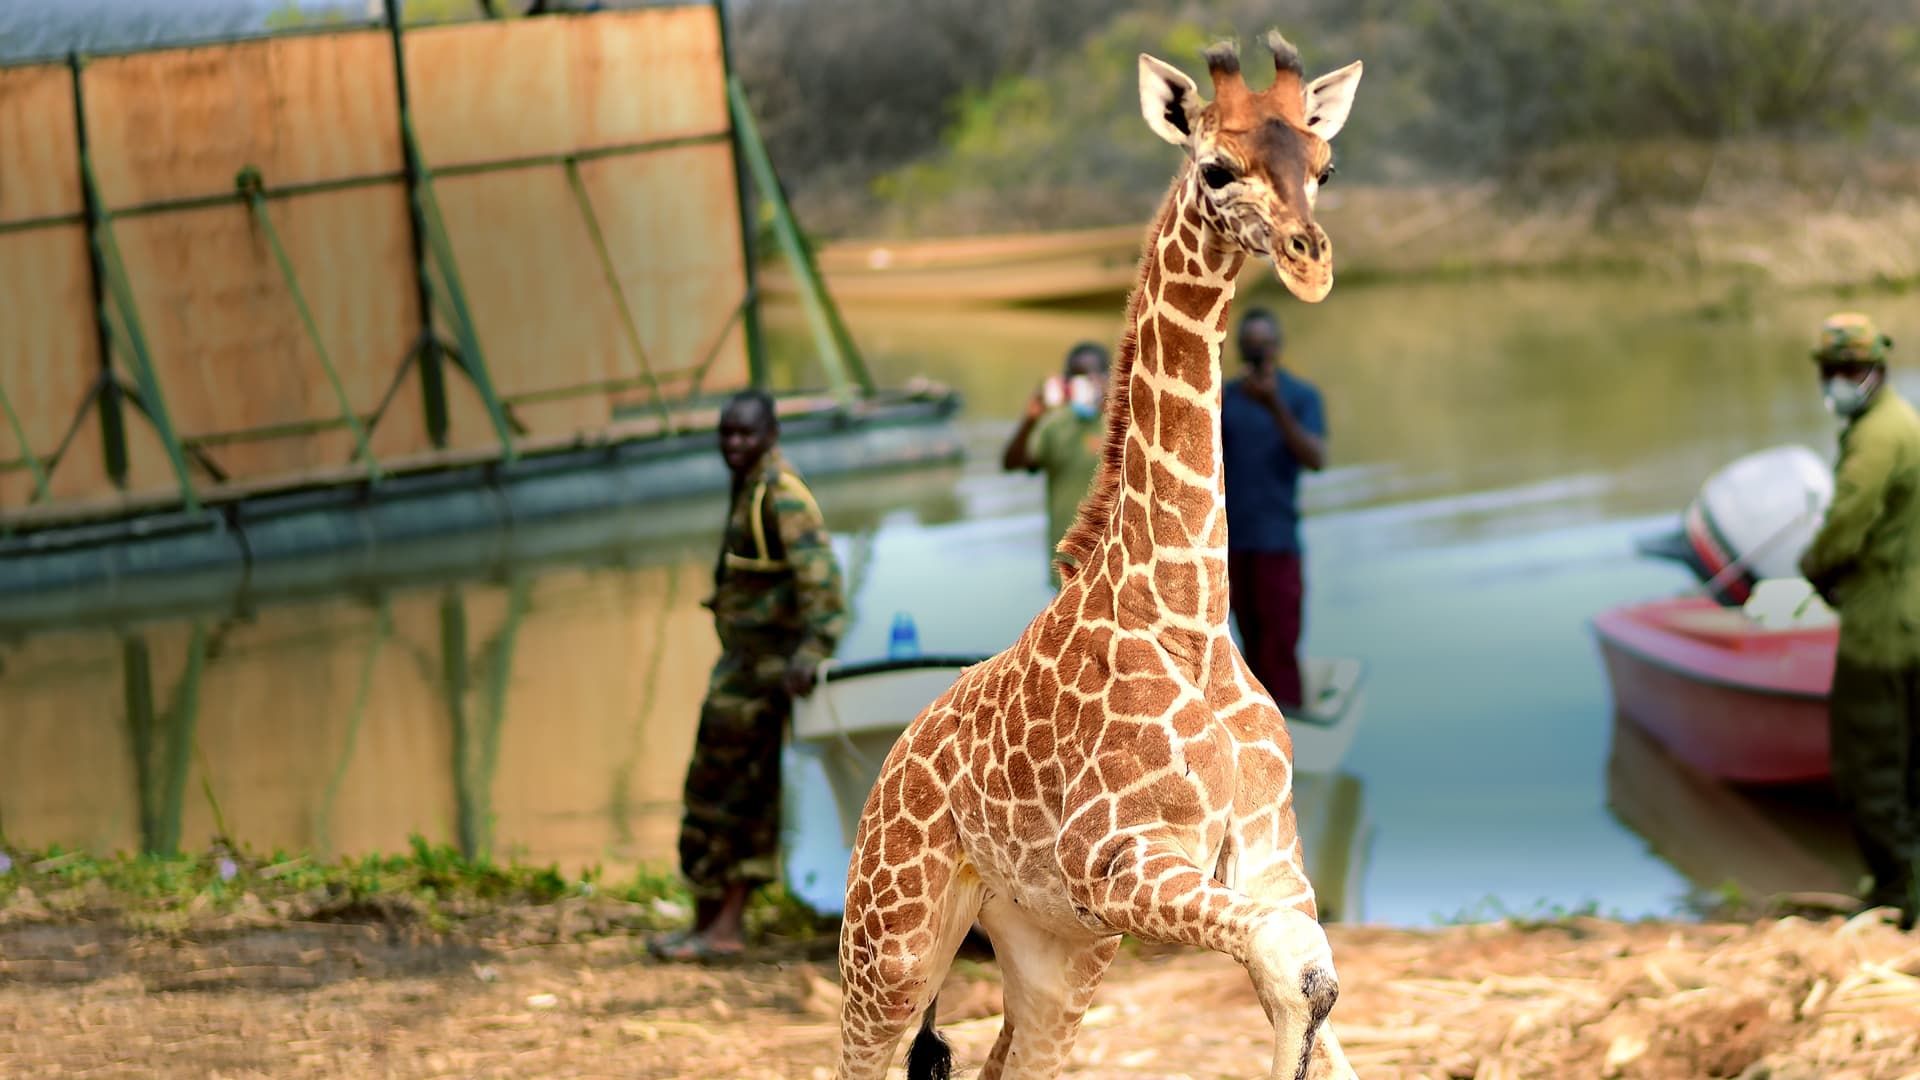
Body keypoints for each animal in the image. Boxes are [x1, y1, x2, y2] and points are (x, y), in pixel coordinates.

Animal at [837, 29, 1367, 1068]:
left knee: (1012, 1061)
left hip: (1053, 949)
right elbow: (1295, 967)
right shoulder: (1116, 858)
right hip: (892, 943)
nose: (1309, 258)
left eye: (1324, 164)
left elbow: (1313, 981)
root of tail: (887, 766)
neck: (1187, 612)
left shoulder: (1268, 857)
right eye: (1216, 166)